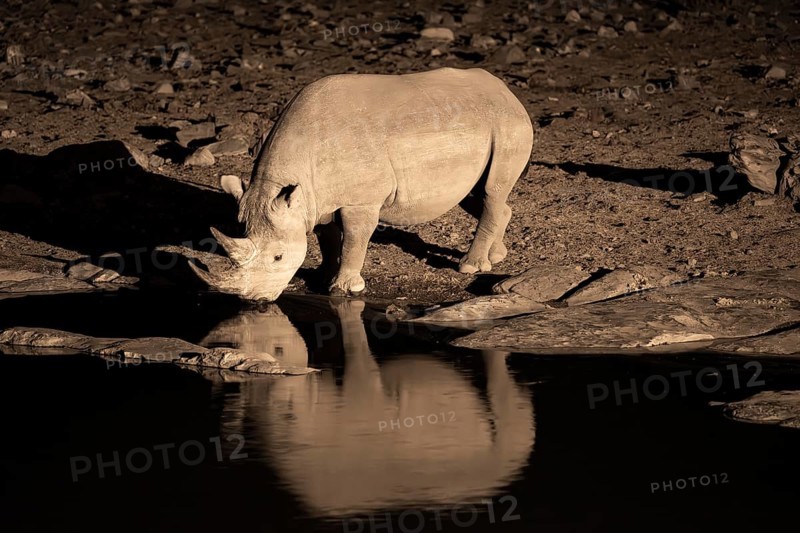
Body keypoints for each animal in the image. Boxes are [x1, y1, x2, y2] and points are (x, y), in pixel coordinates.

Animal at [190, 67, 534, 301]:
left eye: (277, 257)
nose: (254, 300)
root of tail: (507, 91)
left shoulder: (361, 200)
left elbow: (355, 238)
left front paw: (345, 288)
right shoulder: (317, 198)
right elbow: (327, 237)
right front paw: (323, 276)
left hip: (506, 124)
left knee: (491, 191)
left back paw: (470, 267)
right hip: (480, 122)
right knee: (478, 195)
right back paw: (496, 256)